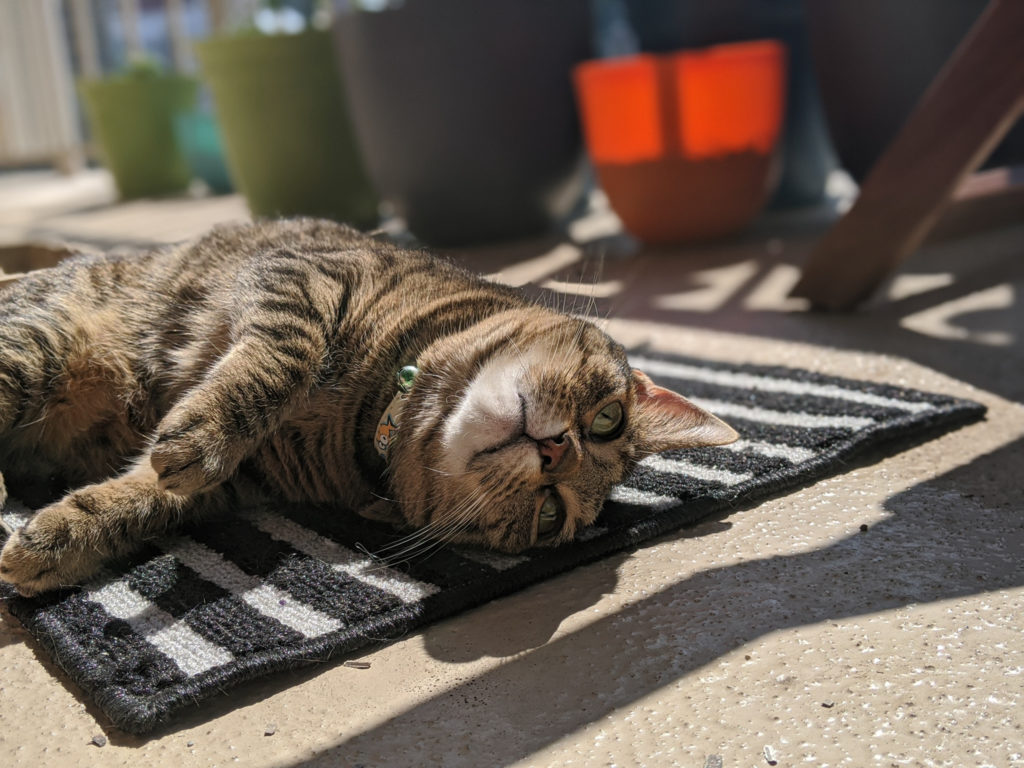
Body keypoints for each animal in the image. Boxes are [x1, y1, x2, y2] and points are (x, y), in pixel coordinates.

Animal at [0, 219, 737, 598]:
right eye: (608, 418)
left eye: (550, 515)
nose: (556, 452)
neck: (373, 411)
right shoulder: (305, 275)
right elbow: (283, 358)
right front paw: (206, 430)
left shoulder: (241, 486)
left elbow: (141, 499)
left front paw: (59, 538)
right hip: (33, 350)